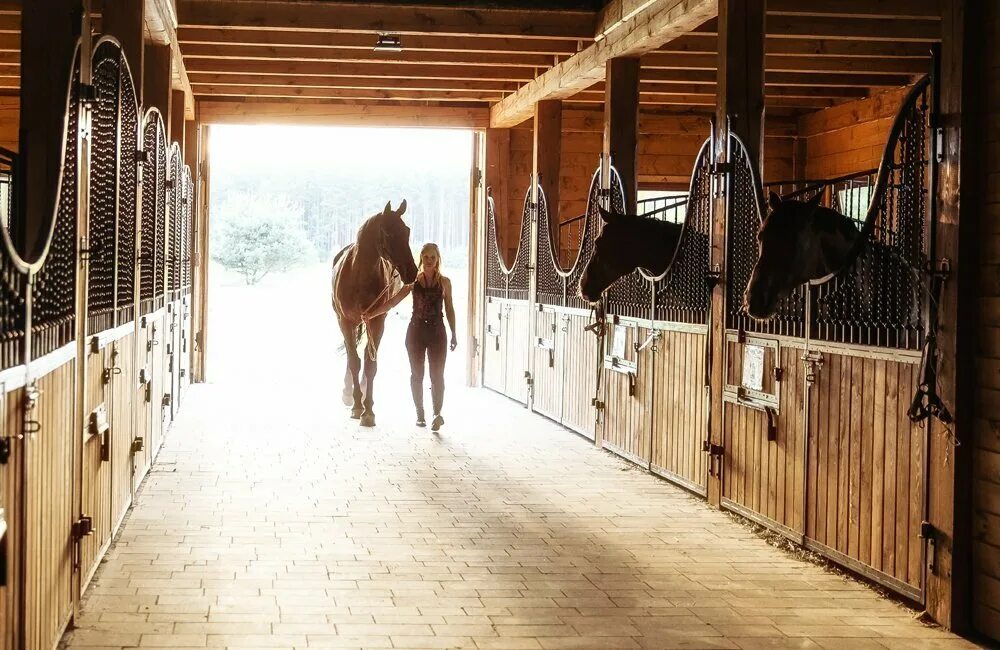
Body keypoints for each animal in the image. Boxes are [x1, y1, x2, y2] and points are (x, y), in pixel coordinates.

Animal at [332, 200, 418, 428]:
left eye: (407, 231)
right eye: (388, 233)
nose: (412, 271)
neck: (359, 276)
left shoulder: (377, 321)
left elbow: (370, 364)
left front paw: (368, 409)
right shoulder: (345, 321)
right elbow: (354, 361)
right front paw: (356, 406)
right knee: (351, 354)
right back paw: (349, 393)